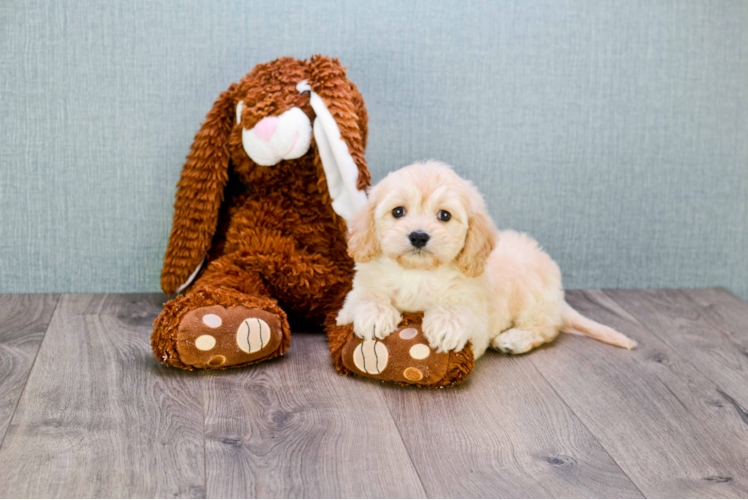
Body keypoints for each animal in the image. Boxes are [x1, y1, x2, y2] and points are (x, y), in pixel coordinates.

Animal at [336, 158, 636, 358]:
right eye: (398, 211)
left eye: (444, 215)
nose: (419, 236)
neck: (418, 272)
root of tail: (559, 298)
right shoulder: (353, 297)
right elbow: (367, 296)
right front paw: (375, 315)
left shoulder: (476, 312)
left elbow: (457, 309)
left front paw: (446, 325)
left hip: (533, 298)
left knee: (547, 328)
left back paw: (514, 339)